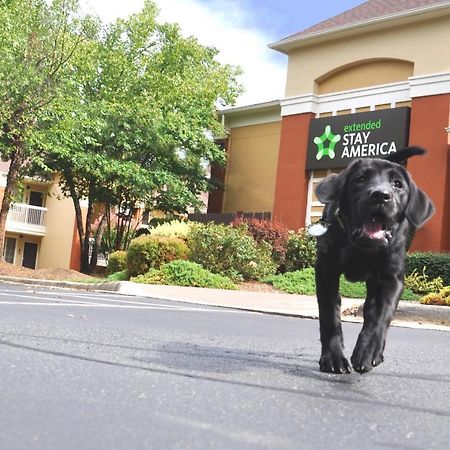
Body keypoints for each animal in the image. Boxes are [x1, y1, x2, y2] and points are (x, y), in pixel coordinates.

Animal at [312, 147, 436, 372]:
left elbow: (380, 315)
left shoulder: (391, 278)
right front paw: (333, 358)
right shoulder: (326, 271)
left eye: (397, 184)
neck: (362, 248)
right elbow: (329, 315)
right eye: (361, 179)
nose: (380, 195)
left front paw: (368, 352)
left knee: (371, 310)